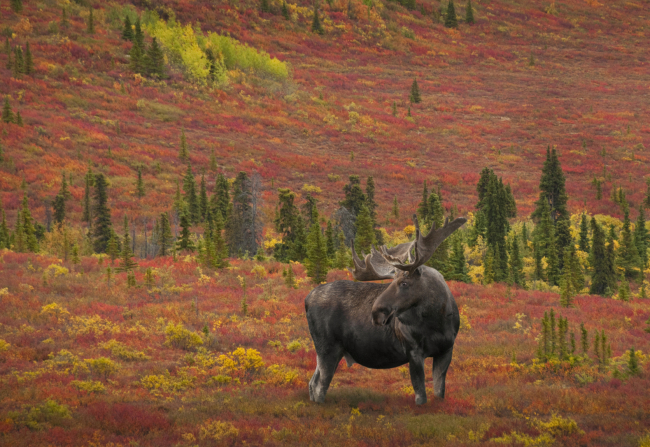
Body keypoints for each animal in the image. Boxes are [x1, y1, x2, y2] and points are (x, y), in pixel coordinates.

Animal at [306, 216, 466, 406]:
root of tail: (307, 300)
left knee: (312, 382)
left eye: (404, 283)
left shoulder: (446, 350)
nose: (376, 313)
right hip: (327, 349)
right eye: (391, 282)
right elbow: (421, 395)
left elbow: (439, 392)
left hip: (328, 352)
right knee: (319, 387)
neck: (437, 321)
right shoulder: (413, 351)